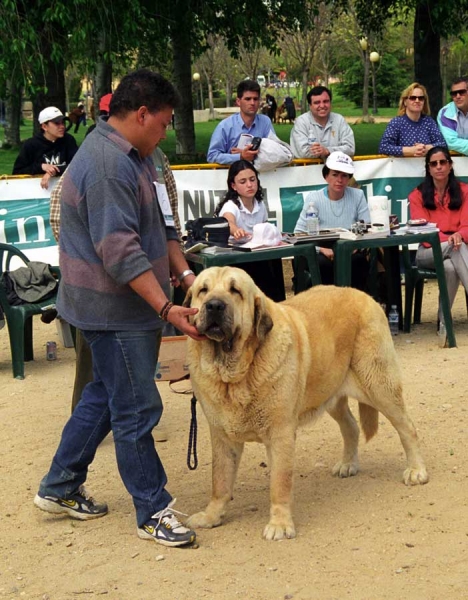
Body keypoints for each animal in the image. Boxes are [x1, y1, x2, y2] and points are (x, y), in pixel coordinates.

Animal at [183, 268, 428, 540]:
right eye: (203, 290)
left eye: (235, 291)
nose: (214, 305)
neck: (234, 375)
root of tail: (364, 295)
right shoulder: (222, 437)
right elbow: (220, 481)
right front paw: (211, 516)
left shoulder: (280, 435)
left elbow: (279, 483)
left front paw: (280, 524)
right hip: (329, 391)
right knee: (351, 426)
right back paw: (348, 464)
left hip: (379, 386)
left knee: (407, 427)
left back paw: (416, 470)